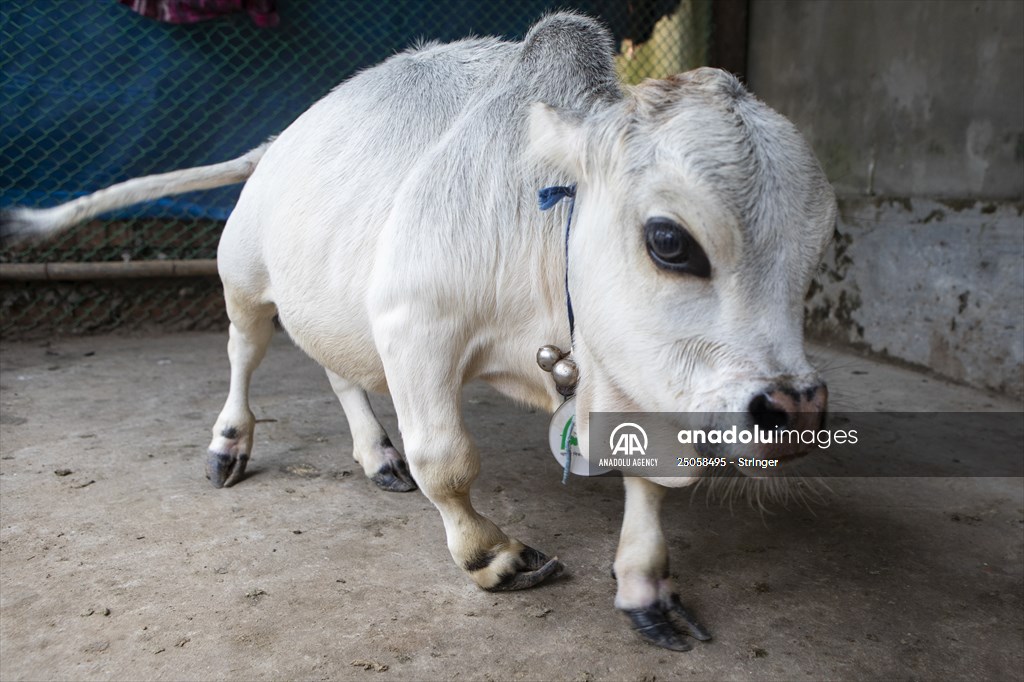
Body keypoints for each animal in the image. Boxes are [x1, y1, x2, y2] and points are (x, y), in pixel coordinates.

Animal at [1, 13, 836, 651]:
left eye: (818, 248)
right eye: (670, 240)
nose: (794, 411)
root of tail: (279, 141)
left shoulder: (636, 373)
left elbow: (649, 482)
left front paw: (644, 588)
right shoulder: (416, 323)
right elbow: (447, 462)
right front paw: (492, 557)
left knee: (339, 371)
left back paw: (376, 455)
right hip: (243, 278)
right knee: (244, 353)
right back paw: (230, 443)